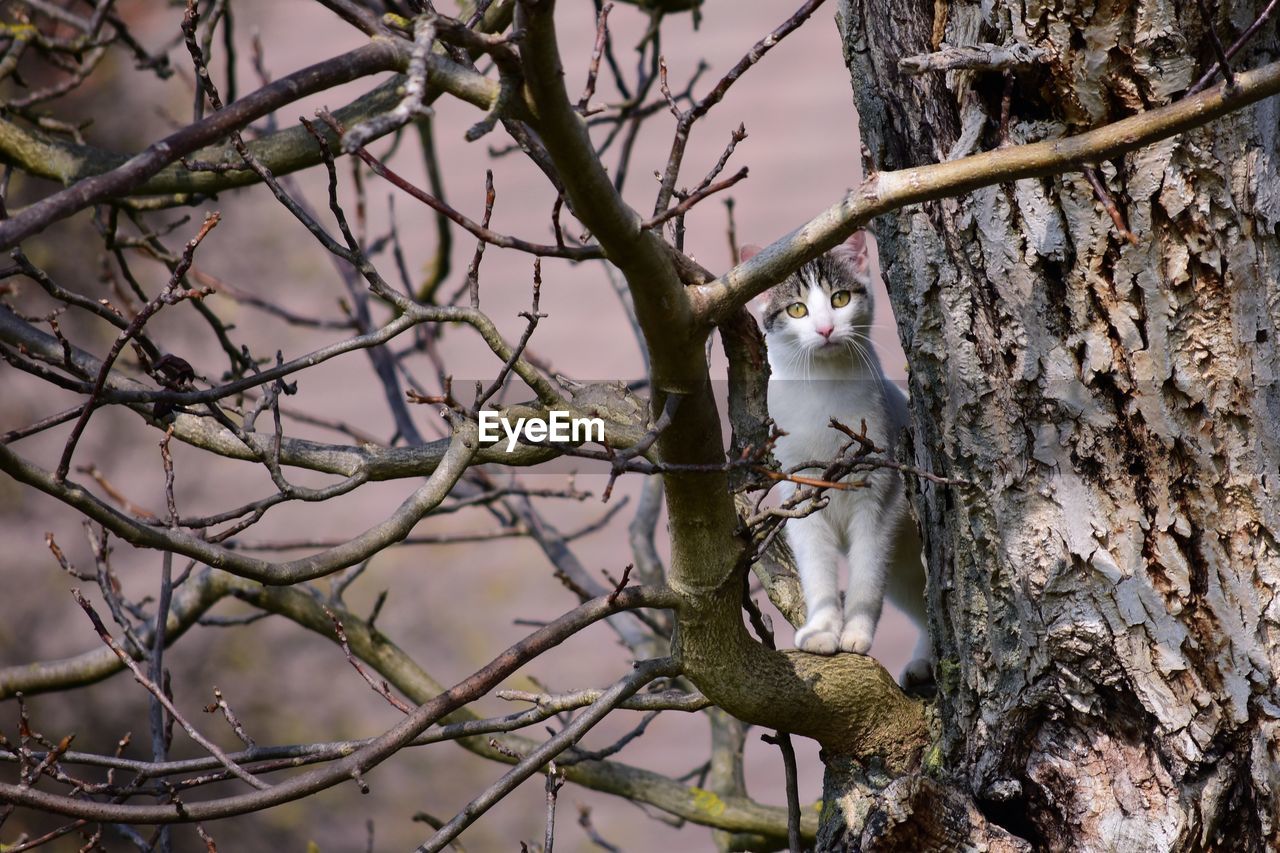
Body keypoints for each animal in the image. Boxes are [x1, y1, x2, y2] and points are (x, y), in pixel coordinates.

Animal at [747, 233, 931, 686]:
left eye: (840, 298)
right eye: (797, 309)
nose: (826, 328)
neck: (823, 392)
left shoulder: (881, 498)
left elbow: (866, 576)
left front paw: (856, 635)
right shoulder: (801, 493)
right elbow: (817, 570)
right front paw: (821, 629)